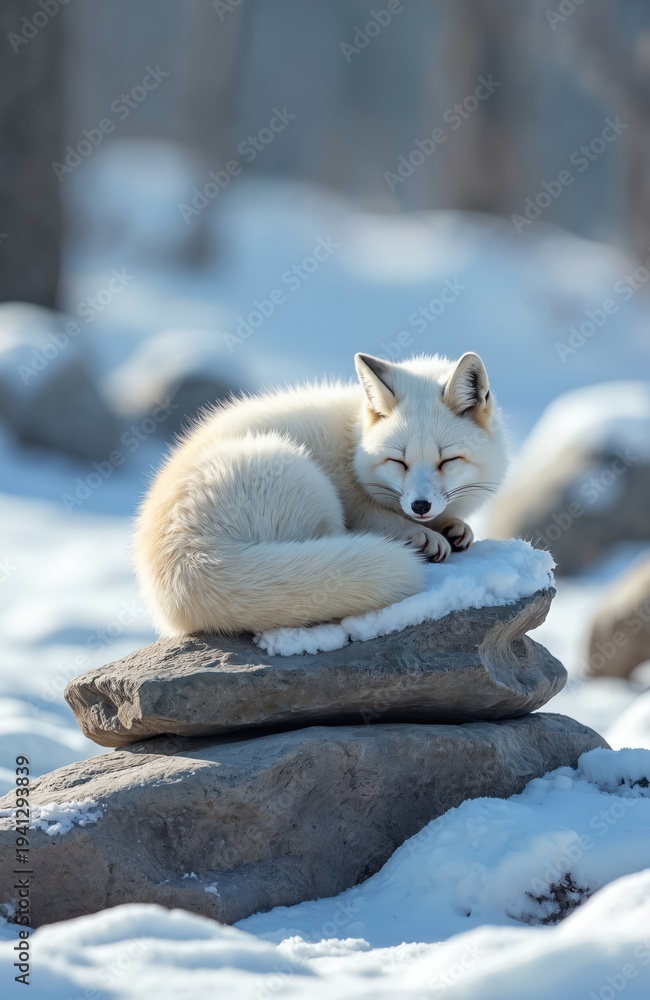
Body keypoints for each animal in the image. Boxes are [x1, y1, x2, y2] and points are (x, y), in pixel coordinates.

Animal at [133, 352, 508, 636]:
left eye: (447, 460)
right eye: (398, 461)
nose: (420, 505)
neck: (353, 444)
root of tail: (187, 555)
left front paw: (452, 527)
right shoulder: (354, 502)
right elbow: (378, 518)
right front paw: (421, 535)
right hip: (305, 478)